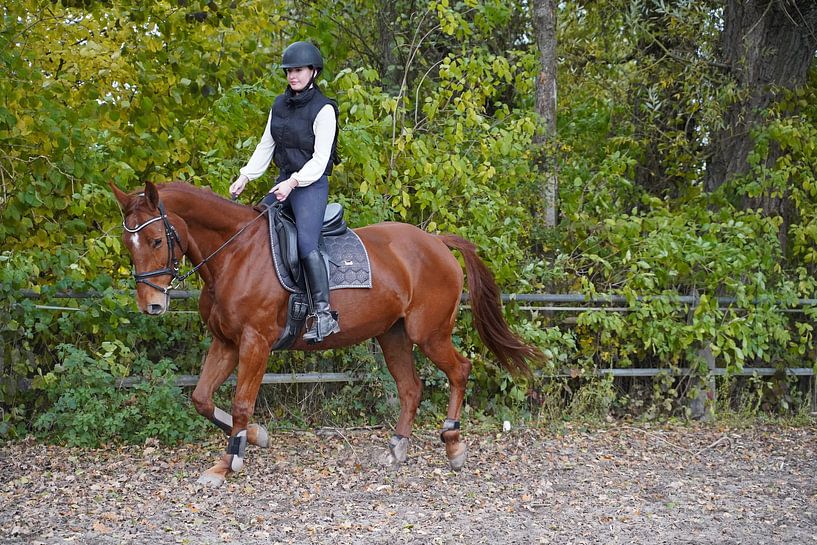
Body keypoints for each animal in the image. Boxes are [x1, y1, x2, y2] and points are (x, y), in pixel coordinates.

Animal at [111, 181, 542, 486]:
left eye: (155, 240)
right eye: (128, 245)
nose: (152, 305)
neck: (235, 255)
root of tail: (436, 241)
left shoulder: (255, 343)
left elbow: (240, 403)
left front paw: (228, 462)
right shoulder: (227, 342)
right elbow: (201, 398)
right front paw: (256, 437)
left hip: (429, 334)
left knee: (459, 370)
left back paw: (452, 445)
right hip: (393, 335)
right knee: (410, 387)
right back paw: (396, 448)